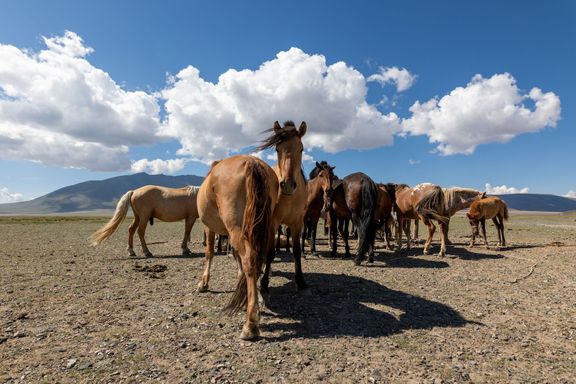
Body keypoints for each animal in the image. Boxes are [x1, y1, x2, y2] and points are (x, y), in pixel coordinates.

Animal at [196, 154, 276, 340]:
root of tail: (251, 162)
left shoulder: (209, 228)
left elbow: (209, 253)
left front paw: (204, 283)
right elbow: (235, 255)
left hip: (237, 227)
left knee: (250, 260)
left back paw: (250, 324)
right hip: (265, 226)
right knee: (262, 257)